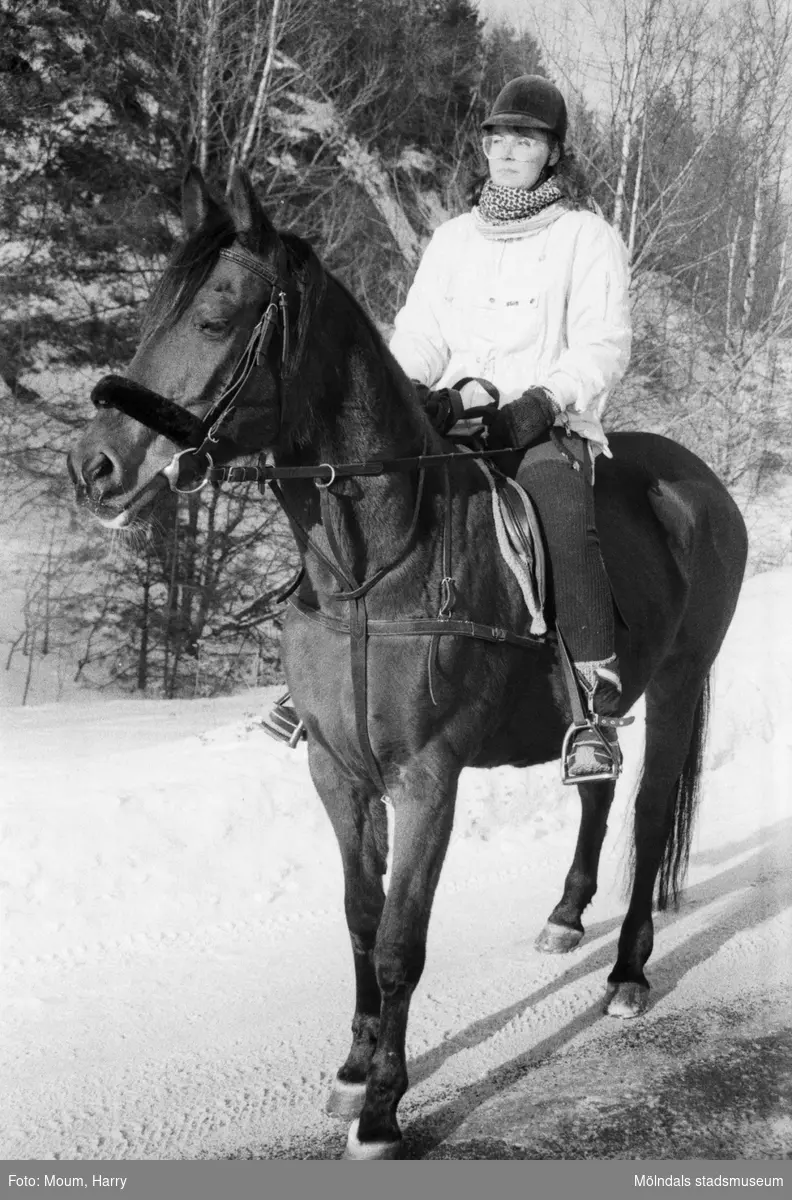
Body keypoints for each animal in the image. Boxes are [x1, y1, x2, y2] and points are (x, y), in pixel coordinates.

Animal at [68, 169, 748, 1161]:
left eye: (217, 316)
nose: (94, 467)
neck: (377, 564)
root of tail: (703, 485)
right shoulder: (338, 771)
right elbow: (360, 917)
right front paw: (353, 1072)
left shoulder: (427, 779)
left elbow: (400, 940)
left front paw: (384, 1109)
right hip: (606, 703)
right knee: (598, 788)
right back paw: (564, 917)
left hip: (681, 681)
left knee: (652, 813)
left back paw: (626, 970)